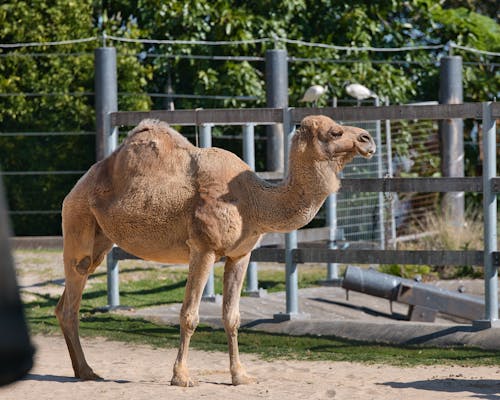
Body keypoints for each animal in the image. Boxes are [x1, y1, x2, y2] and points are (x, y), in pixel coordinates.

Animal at [55, 114, 376, 386]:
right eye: (335, 132)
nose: (367, 138)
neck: (252, 202)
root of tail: (76, 187)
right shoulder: (203, 248)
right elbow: (189, 315)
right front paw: (181, 377)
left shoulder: (240, 255)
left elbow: (232, 317)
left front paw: (240, 376)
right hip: (77, 219)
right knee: (73, 296)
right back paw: (87, 371)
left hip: (101, 239)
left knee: (68, 297)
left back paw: (82, 370)